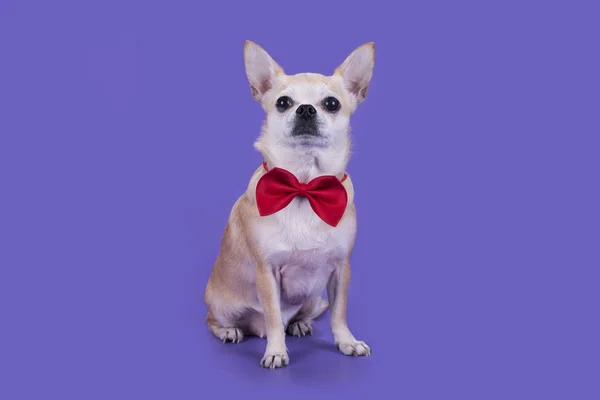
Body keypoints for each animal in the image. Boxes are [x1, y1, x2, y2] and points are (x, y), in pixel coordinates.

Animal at [206, 40, 376, 368]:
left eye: (332, 104)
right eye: (283, 102)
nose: (306, 109)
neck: (304, 186)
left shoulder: (341, 268)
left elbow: (339, 312)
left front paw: (346, 342)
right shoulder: (267, 272)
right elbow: (273, 317)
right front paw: (275, 351)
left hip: (311, 298)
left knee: (305, 314)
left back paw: (298, 324)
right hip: (220, 303)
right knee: (216, 320)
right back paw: (230, 331)